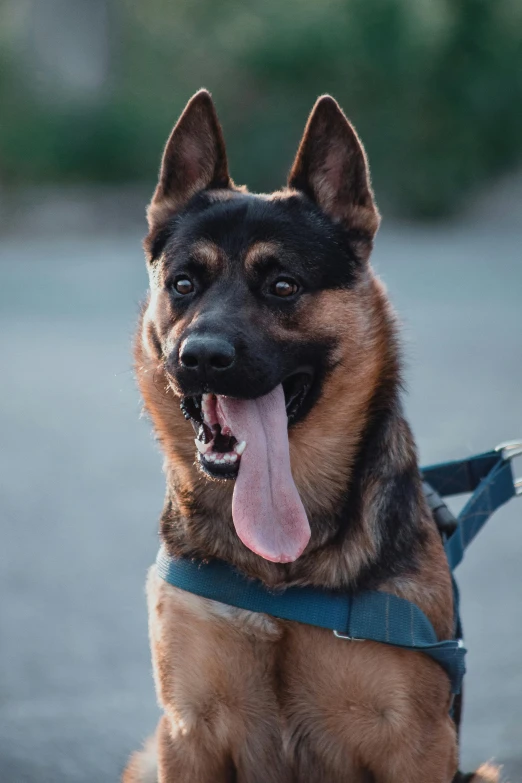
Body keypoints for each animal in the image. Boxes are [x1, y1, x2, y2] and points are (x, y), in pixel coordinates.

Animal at [123, 90, 500, 783]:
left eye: (283, 286)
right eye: (183, 284)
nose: (202, 356)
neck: (281, 572)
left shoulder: (417, 744)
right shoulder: (185, 734)